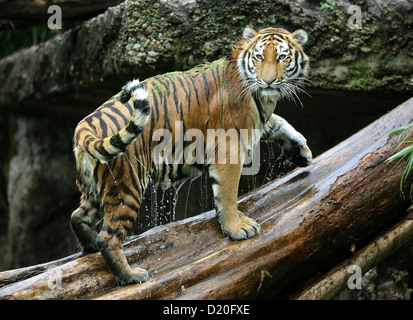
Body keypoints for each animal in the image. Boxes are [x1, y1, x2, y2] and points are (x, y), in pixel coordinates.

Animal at [71, 25, 310, 284]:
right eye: (258, 57)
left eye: (282, 57)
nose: (268, 81)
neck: (263, 97)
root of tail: (85, 124)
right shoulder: (229, 146)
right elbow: (227, 194)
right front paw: (237, 229)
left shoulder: (257, 124)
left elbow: (280, 123)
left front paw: (302, 152)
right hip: (127, 184)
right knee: (108, 237)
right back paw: (132, 275)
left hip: (97, 188)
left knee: (77, 216)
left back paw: (90, 248)